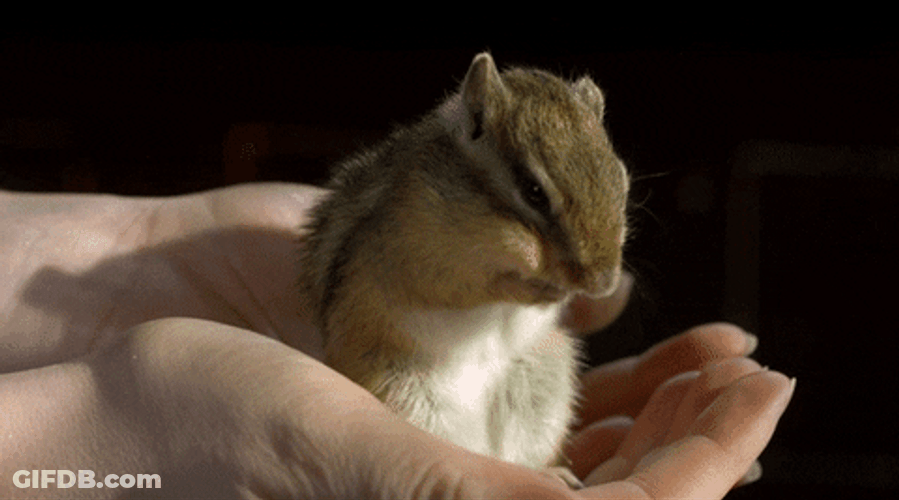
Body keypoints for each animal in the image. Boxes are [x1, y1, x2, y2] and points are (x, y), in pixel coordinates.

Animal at [299, 52, 629, 487]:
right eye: (533, 191)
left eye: (620, 176)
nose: (603, 284)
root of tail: (480, 449)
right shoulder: (415, 249)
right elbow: (460, 285)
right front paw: (534, 283)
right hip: (405, 392)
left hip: (545, 382)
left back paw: (550, 474)